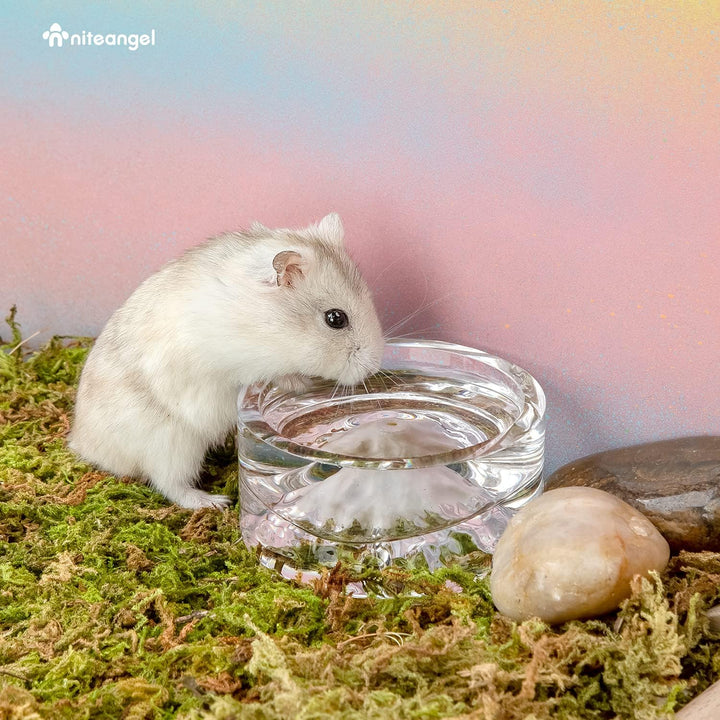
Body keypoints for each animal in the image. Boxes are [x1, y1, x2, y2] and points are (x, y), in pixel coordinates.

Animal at [68, 213, 385, 509]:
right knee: (170, 484)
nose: (374, 366)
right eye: (335, 318)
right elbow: (271, 375)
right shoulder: (233, 363)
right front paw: (302, 384)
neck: (264, 320)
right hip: (172, 445)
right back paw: (214, 502)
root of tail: (82, 444)